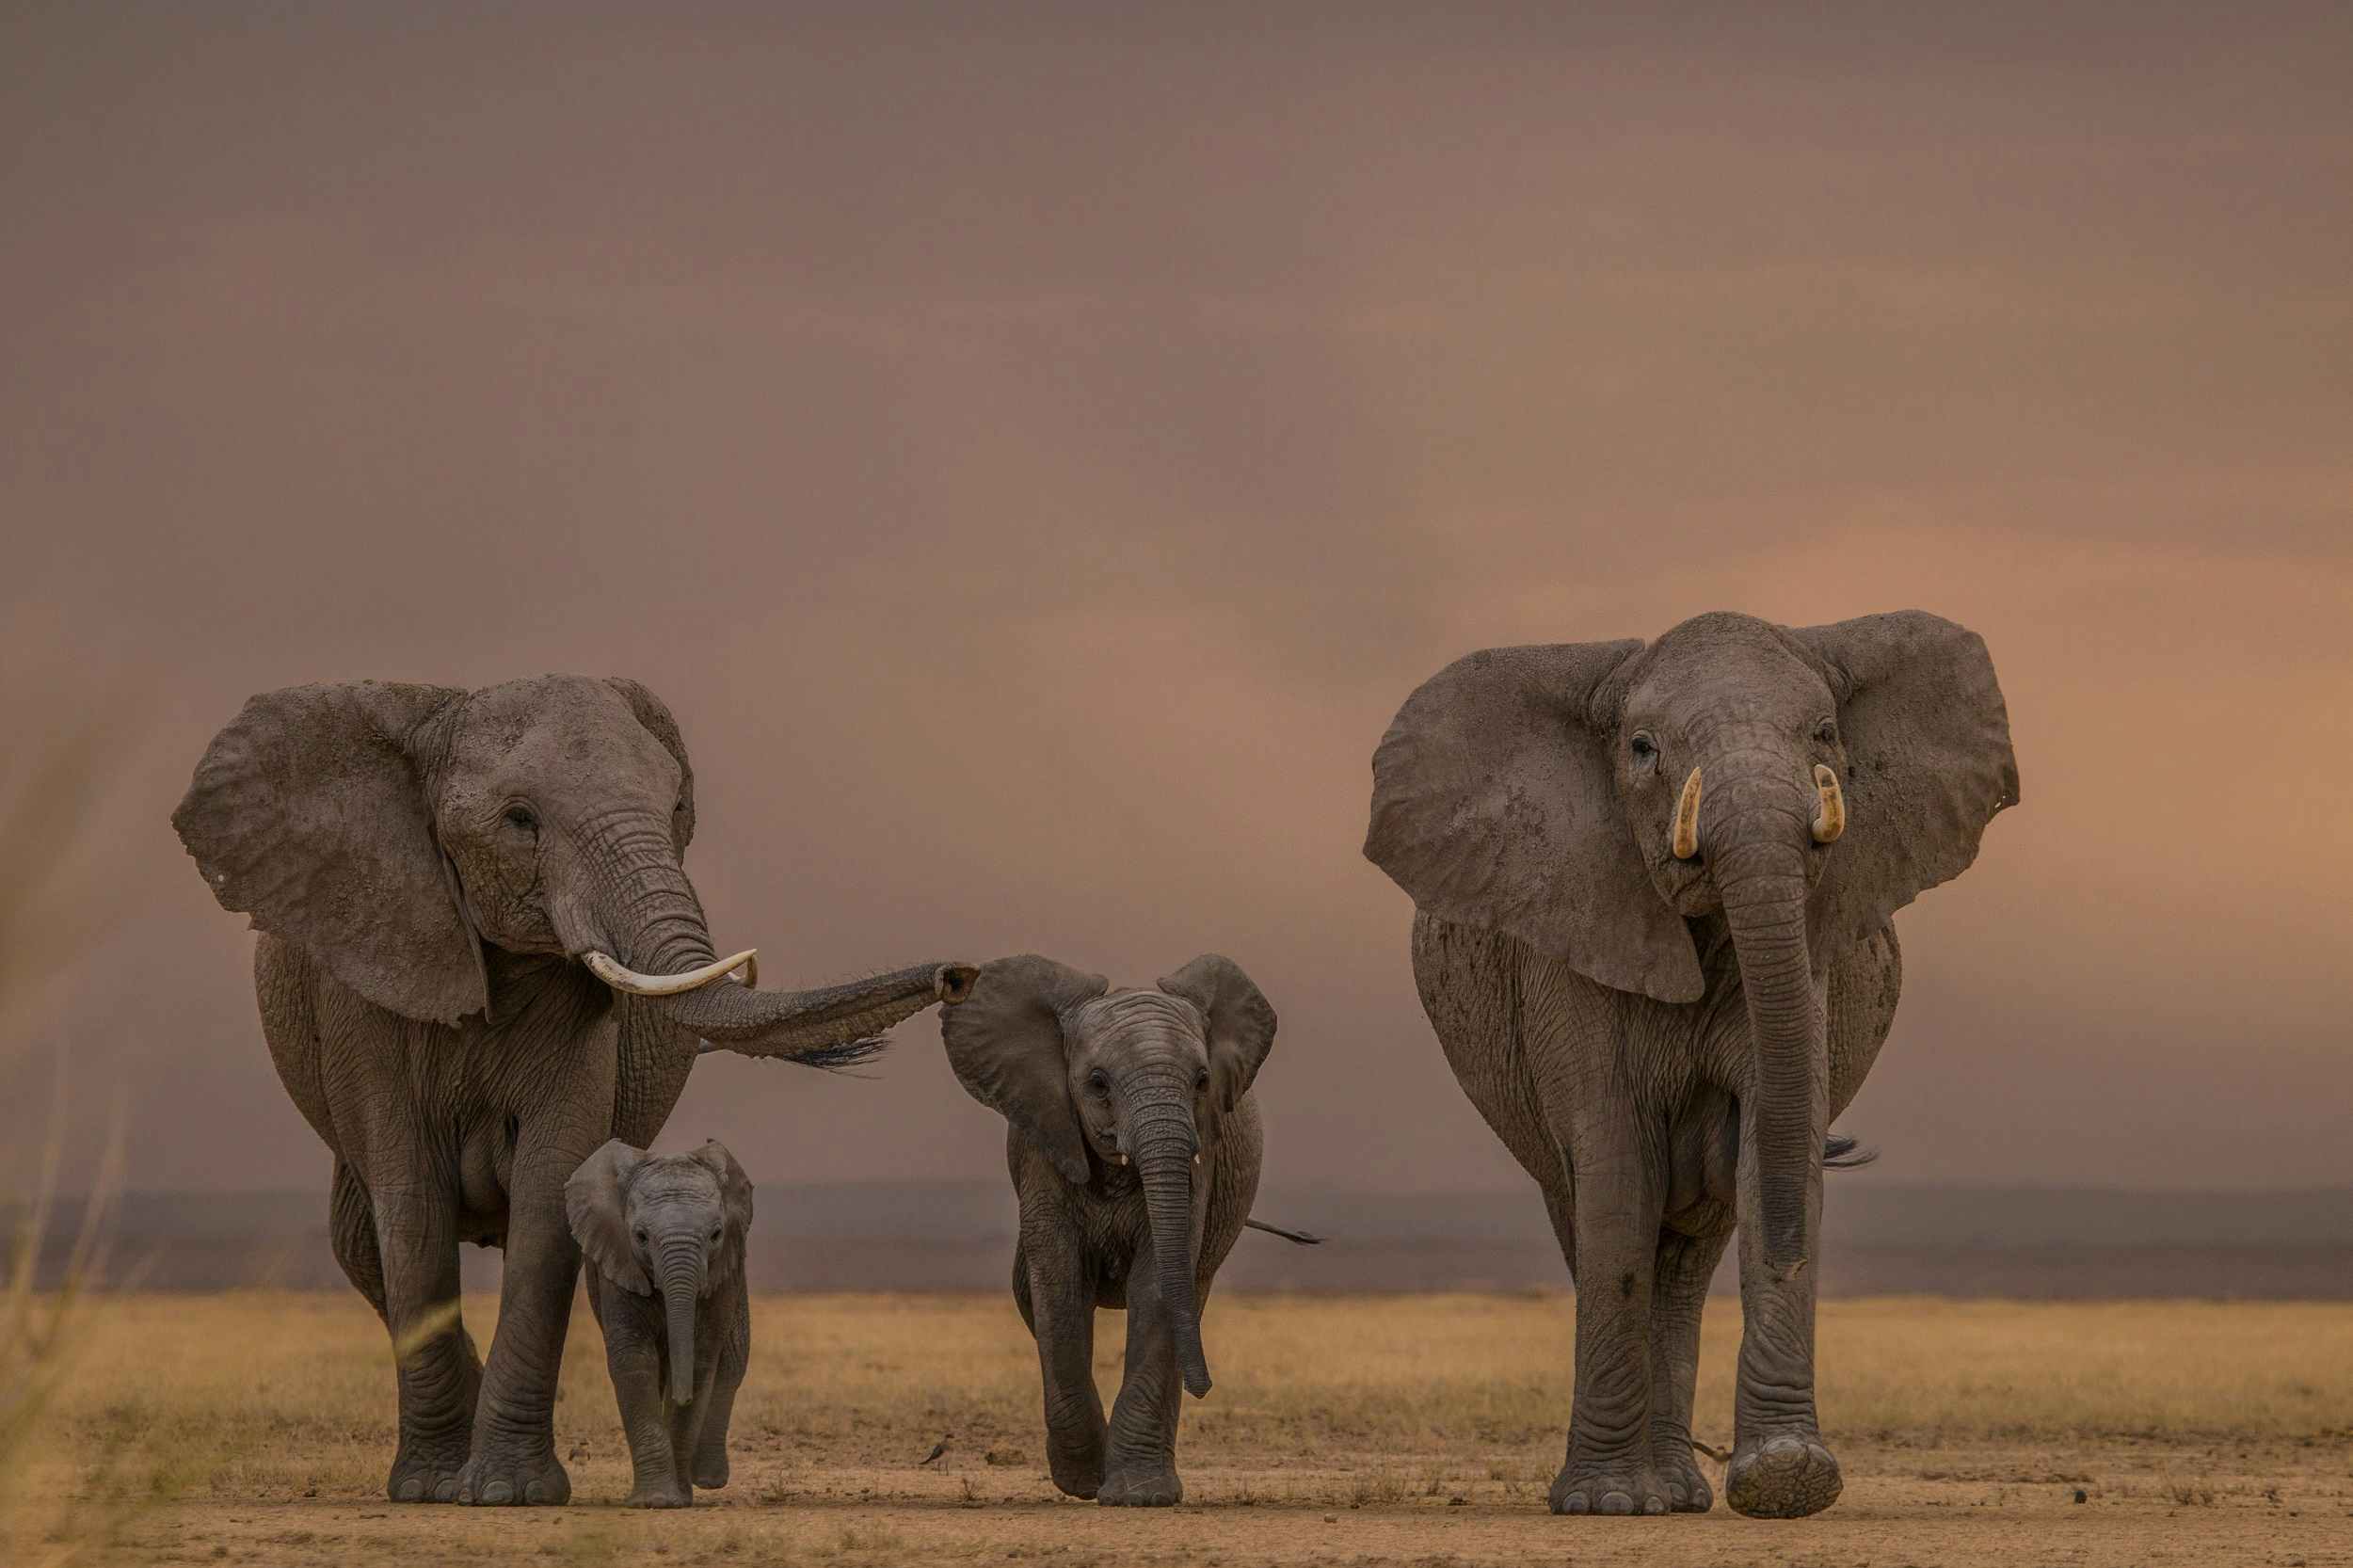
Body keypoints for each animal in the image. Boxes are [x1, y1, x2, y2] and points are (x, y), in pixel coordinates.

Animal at [567, 1138, 752, 1508]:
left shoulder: (723, 1277)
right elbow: (634, 1360)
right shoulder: (618, 1264)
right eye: (640, 1236)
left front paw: (677, 1498)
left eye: (716, 1234)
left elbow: (701, 1360)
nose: (681, 1398)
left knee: (732, 1364)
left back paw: (707, 1479)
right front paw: (656, 1501)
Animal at [938, 953, 1282, 1507]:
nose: (1206, 1386)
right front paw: (1083, 1482)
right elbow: (1058, 1282)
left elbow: (1159, 1281)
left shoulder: (1201, 1157)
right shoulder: (1045, 1143)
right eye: (1097, 1083)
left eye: (1202, 1081)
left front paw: (1139, 1496)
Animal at [1363, 610, 2017, 1520]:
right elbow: (1615, 1171)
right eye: (1642, 749)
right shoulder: (1573, 937)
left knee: (1691, 1256)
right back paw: (1640, 1492)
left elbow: (1774, 1142)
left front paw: (1787, 1479)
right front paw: (1603, 1503)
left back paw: (1676, 1492)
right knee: (1594, 1218)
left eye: (1825, 734)